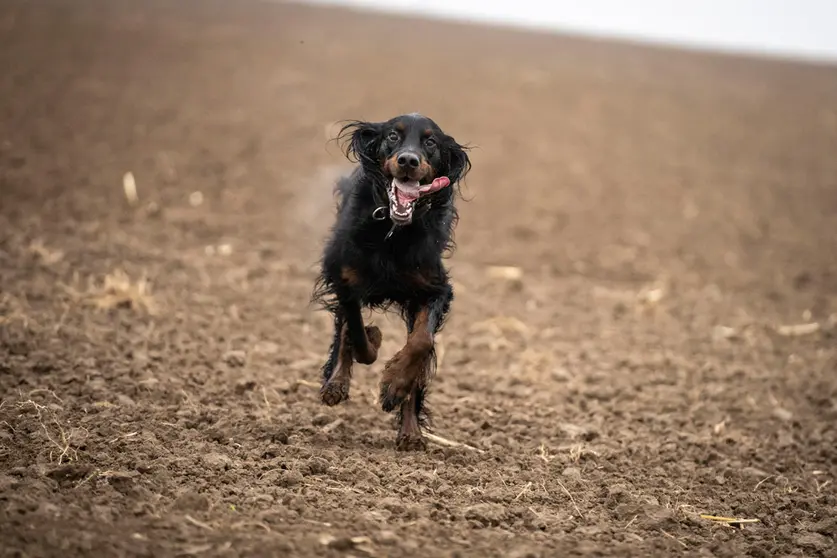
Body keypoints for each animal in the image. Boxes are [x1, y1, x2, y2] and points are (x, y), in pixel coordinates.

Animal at [312, 112, 470, 450]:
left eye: (430, 142)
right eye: (393, 137)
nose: (408, 160)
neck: (393, 231)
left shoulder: (435, 290)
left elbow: (421, 343)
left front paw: (395, 385)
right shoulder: (344, 279)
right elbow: (356, 334)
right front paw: (370, 341)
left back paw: (410, 432)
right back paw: (336, 384)